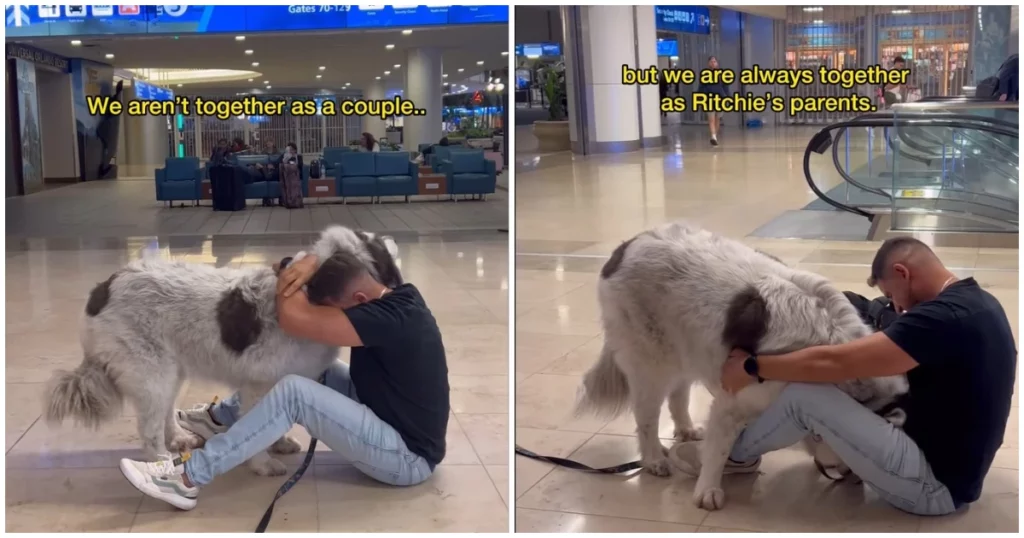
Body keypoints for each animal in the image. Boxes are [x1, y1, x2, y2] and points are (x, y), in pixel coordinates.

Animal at [45, 224, 403, 475]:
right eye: (377, 248)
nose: (392, 241)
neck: (309, 299)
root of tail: (104, 287)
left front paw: (280, 443)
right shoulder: (259, 386)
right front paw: (263, 464)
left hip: (171, 372)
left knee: (165, 412)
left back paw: (180, 438)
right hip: (151, 375)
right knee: (148, 428)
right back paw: (162, 460)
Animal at [581, 221, 909, 508]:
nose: (848, 478)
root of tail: (627, 246)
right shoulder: (733, 401)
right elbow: (719, 447)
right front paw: (708, 489)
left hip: (687, 347)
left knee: (678, 394)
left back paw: (686, 429)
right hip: (651, 362)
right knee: (646, 417)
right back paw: (654, 459)